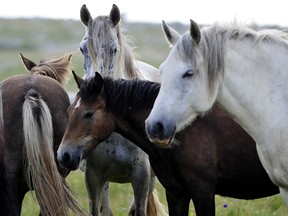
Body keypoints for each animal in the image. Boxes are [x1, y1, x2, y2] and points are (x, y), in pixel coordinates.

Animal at [56, 71, 280, 215]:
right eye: (69, 111)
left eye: (89, 114)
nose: (63, 156)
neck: (181, 129)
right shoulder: (176, 193)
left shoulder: (203, 192)